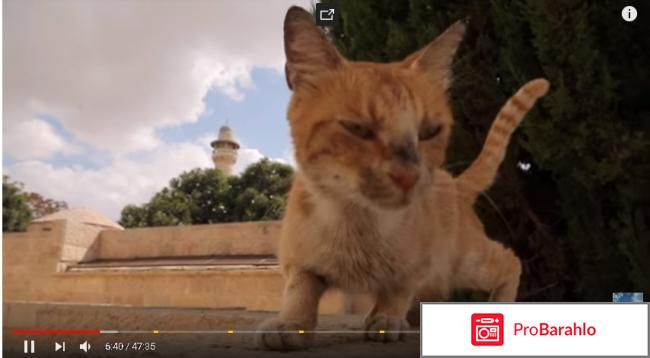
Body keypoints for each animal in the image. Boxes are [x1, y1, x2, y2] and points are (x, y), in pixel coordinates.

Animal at [256, 7, 548, 352]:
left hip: (467, 263)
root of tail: (453, 182)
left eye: (430, 131)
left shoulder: (417, 267)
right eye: (358, 128)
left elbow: (397, 290)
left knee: (509, 261)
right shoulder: (297, 260)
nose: (409, 173)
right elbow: (300, 289)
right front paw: (289, 323)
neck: (359, 225)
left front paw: (386, 319)